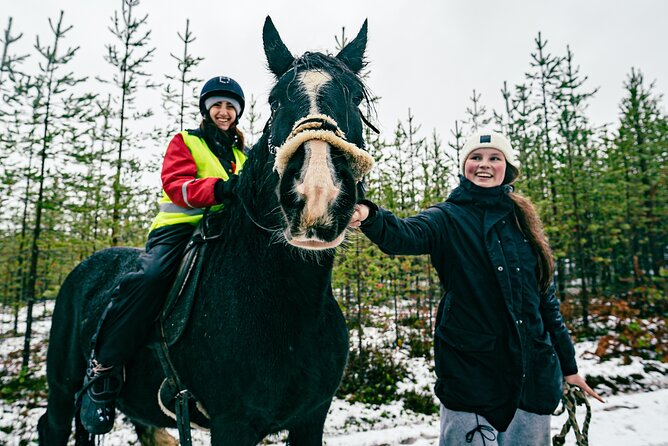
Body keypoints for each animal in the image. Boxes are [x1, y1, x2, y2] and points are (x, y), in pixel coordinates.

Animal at [36, 15, 376, 444]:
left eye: (355, 98)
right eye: (276, 100)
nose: (317, 195)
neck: (287, 304)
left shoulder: (311, 418)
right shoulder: (232, 424)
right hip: (62, 387)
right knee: (52, 423)